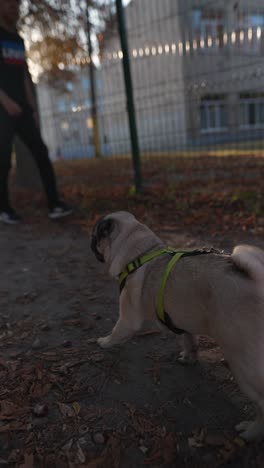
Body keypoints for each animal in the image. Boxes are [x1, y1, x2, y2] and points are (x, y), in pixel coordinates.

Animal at [91, 210, 264, 440]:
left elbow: (117, 332)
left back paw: (251, 431)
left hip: (243, 364)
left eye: (96, 234)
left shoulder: (127, 318)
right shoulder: (182, 322)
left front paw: (104, 342)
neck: (140, 251)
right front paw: (189, 358)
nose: (91, 240)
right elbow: (189, 342)